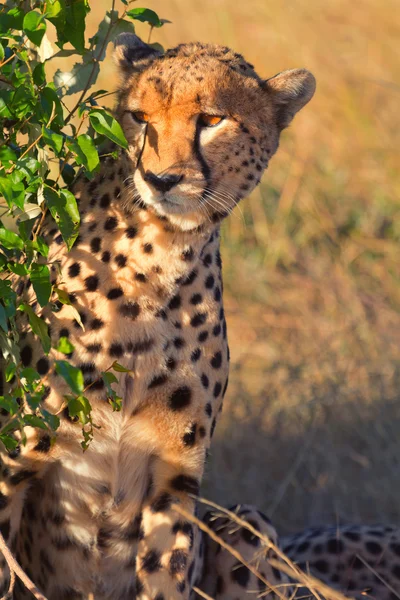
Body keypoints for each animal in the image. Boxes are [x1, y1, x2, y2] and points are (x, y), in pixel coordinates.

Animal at [0, 34, 316, 600]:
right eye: (139, 116)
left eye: (211, 119)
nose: (160, 178)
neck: (155, 258)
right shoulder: (13, 457)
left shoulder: (174, 476)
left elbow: (168, 572)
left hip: (247, 520)